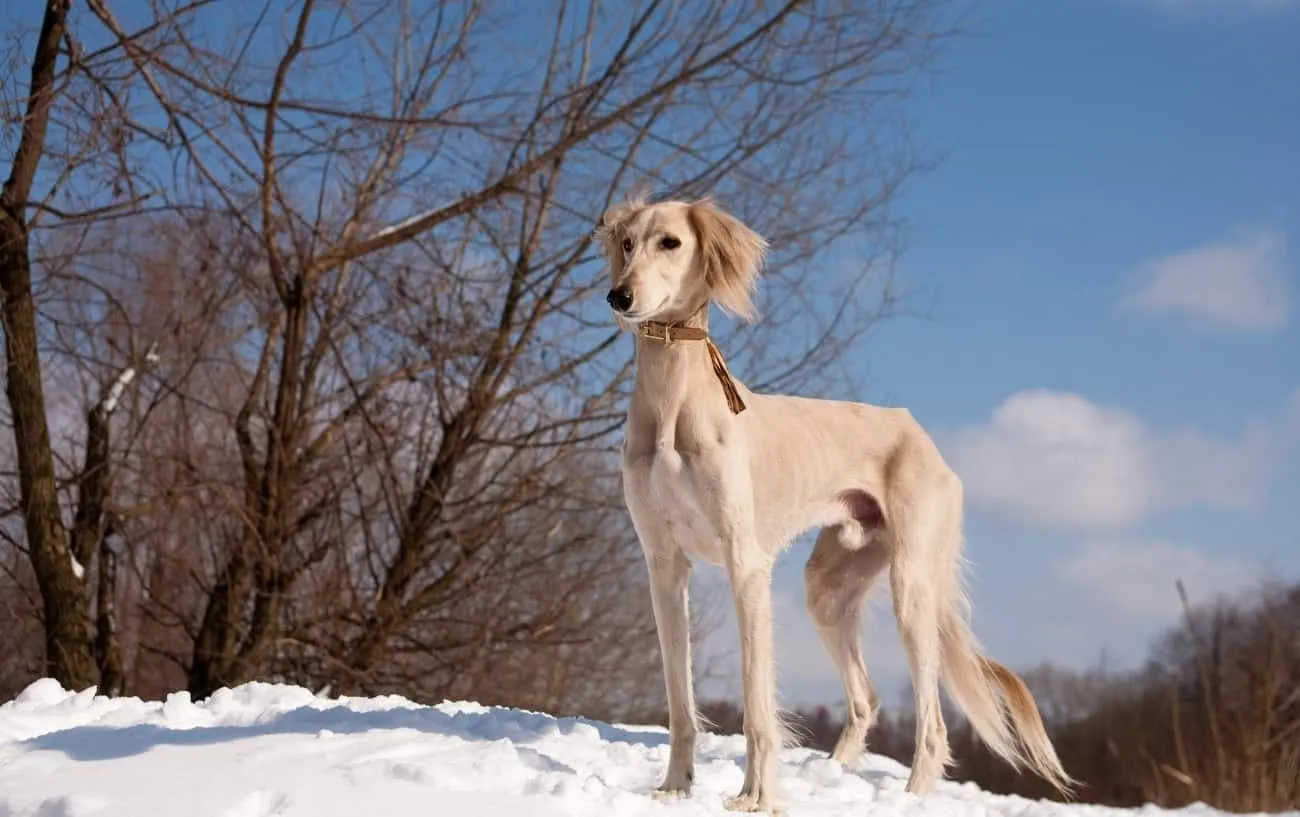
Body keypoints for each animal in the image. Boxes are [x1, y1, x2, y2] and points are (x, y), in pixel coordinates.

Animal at [595, 196, 1076, 811]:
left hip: (911, 588)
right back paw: (836, 775)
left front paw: (755, 798)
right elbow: (680, 701)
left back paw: (909, 797)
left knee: (932, 724)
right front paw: (675, 789)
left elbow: (758, 706)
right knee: (865, 699)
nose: (620, 297)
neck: (672, 401)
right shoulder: (663, 566)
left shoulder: (744, 563)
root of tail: (922, 435)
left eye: (671, 243)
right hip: (828, 588)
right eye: (627, 242)